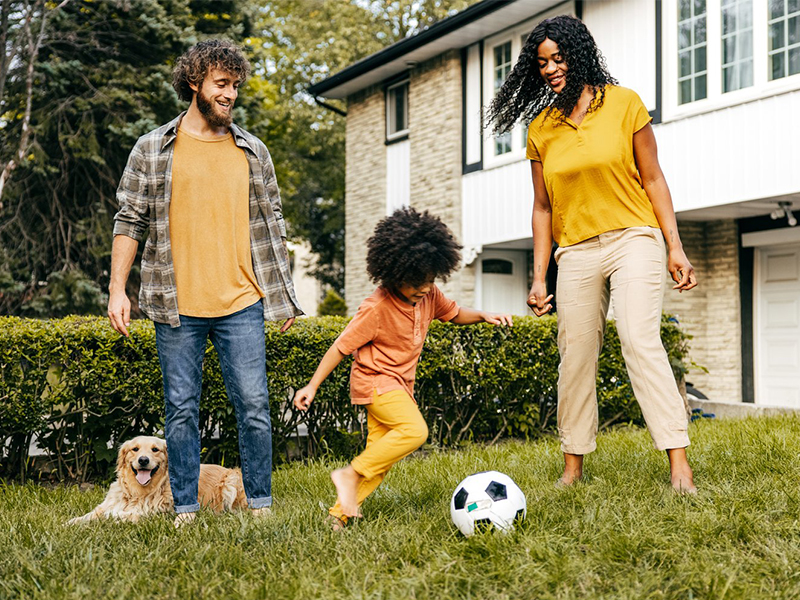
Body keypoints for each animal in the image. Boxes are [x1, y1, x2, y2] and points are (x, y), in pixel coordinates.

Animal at [70, 434, 248, 524]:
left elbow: (121, 515)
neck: (137, 493)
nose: (143, 460)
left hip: (231, 481)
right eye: (135, 449)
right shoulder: (105, 506)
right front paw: (69, 524)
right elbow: (85, 517)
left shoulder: (156, 513)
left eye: (155, 450)